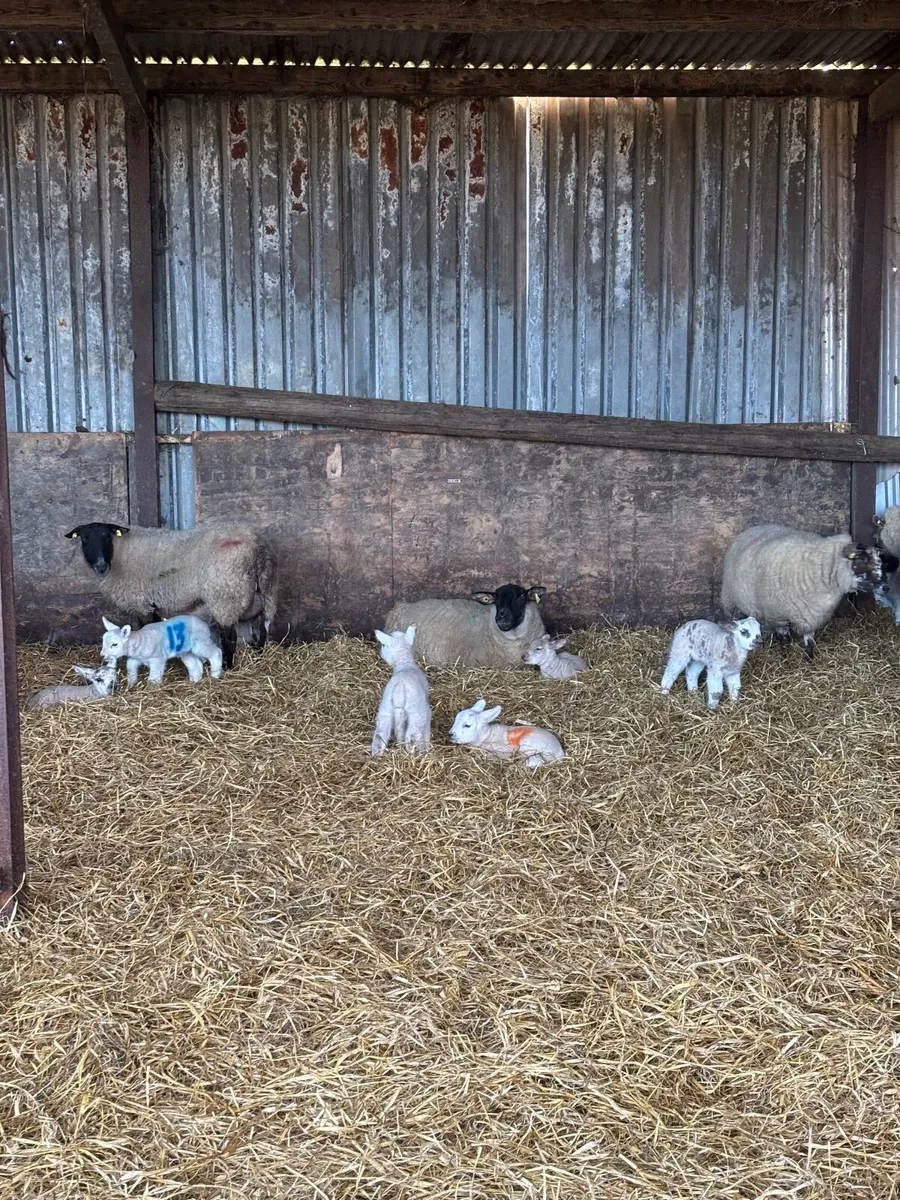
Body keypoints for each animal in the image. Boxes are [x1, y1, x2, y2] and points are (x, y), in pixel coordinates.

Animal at [65, 522, 278, 669]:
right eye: (84, 539)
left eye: (106, 536)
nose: (100, 565)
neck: (118, 554)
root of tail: (257, 546)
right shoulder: (148, 605)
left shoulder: (142, 604)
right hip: (262, 596)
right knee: (260, 630)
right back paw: (258, 657)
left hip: (225, 597)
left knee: (230, 638)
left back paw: (228, 667)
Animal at [370, 625, 432, 756]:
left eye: (383, 645)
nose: (380, 653)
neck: (404, 663)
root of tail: (399, 689)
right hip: (417, 713)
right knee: (411, 737)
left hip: (385, 709)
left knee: (379, 736)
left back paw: (375, 756)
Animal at [720, 523, 883, 659]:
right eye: (861, 560)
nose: (886, 587)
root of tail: (754, 528)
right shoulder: (778, 616)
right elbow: (784, 639)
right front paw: (785, 656)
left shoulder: (811, 615)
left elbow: (809, 640)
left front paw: (809, 658)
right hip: (730, 601)